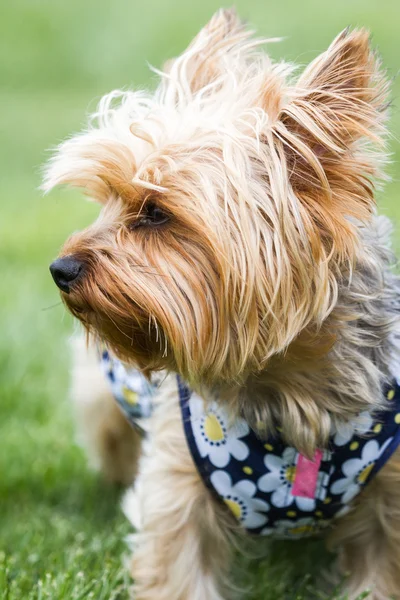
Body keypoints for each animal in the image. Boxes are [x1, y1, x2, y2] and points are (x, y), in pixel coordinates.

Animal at [43, 9, 400, 600]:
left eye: (155, 213)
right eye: (108, 202)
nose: (60, 269)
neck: (286, 381)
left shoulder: (387, 503)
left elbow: (380, 569)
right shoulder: (176, 484)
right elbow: (178, 566)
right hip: (103, 395)